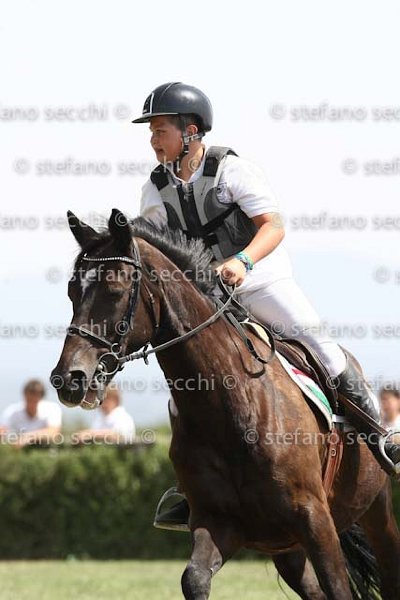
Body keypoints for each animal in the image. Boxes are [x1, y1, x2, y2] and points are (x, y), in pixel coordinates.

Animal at [51, 209, 400, 599]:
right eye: (71, 292)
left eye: (114, 291)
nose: (69, 379)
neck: (229, 407)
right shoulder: (219, 523)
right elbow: (194, 579)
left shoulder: (315, 521)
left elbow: (338, 586)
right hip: (287, 551)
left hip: (376, 510)